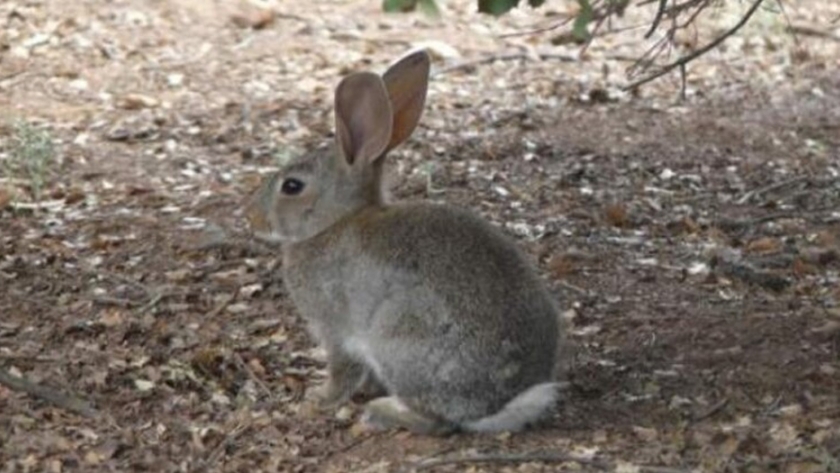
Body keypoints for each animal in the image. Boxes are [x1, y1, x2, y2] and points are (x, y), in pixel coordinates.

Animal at [245, 50, 563, 435]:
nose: (251, 217)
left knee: (437, 421)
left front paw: (317, 400)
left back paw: (381, 412)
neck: (334, 223)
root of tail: (499, 403)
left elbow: (342, 369)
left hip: (399, 340)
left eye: (292, 186)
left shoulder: (335, 328)